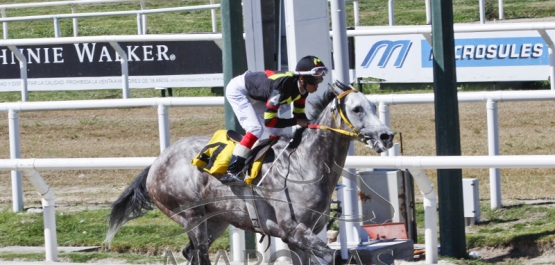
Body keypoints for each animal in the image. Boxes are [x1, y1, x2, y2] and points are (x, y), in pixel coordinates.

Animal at [104, 81, 396, 264]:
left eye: (372, 105)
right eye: (357, 109)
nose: (387, 136)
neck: (304, 164)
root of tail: (157, 162)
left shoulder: (303, 235)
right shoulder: (293, 230)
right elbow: (334, 257)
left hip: (216, 220)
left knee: (189, 252)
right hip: (191, 216)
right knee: (199, 254)